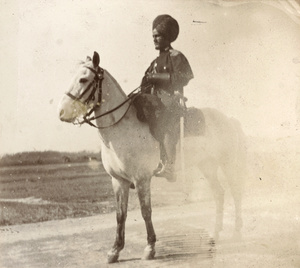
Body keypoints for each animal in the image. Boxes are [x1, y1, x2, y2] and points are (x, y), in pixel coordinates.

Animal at [58, 51, 246, 262]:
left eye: (83, 79)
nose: (62, 112)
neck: (122, 129)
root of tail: (228, 119)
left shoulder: (142, 179)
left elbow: (145, 211)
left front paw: (150, 247)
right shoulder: (118, 181)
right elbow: (120, 215)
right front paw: (115, 250)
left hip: (227, 164)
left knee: (236, 192)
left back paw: (236, 233)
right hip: (207, 165)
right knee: (219, 194)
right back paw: (215, 235)